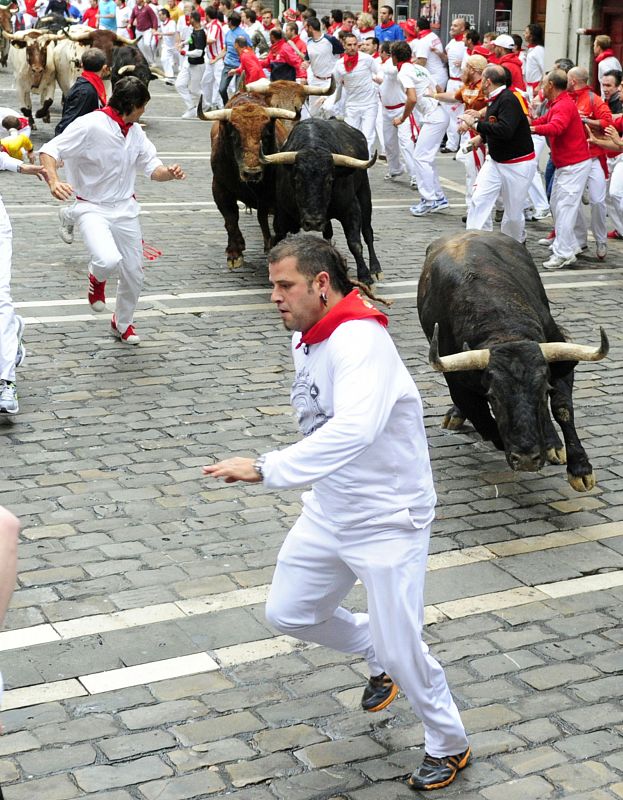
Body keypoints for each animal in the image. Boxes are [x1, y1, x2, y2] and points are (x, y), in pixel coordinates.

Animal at [200, 95, 298, 270]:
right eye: (234, 135)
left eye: (266, 134)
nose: (252, 173)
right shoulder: (219, 188)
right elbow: (231, 219)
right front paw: (234, 253)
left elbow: (275, 224)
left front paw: (274, 246)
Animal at [260, 115, 386, 284]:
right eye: (297, 179)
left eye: (330, 180)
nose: (313, 222)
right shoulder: (282, 212)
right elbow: (278, 238)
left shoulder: (351, 208)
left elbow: (354, 243)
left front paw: (365, 276)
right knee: (328, 233)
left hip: (365, 193)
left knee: (367, 231)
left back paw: (376, 269)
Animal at [416, 233, 612, 494]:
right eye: (493, 396)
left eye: (543, 392)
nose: (528, 459)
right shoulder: (458, 382)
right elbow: (484, 421)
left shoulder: (559, 356)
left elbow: (562, 408)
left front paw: (580, 469)